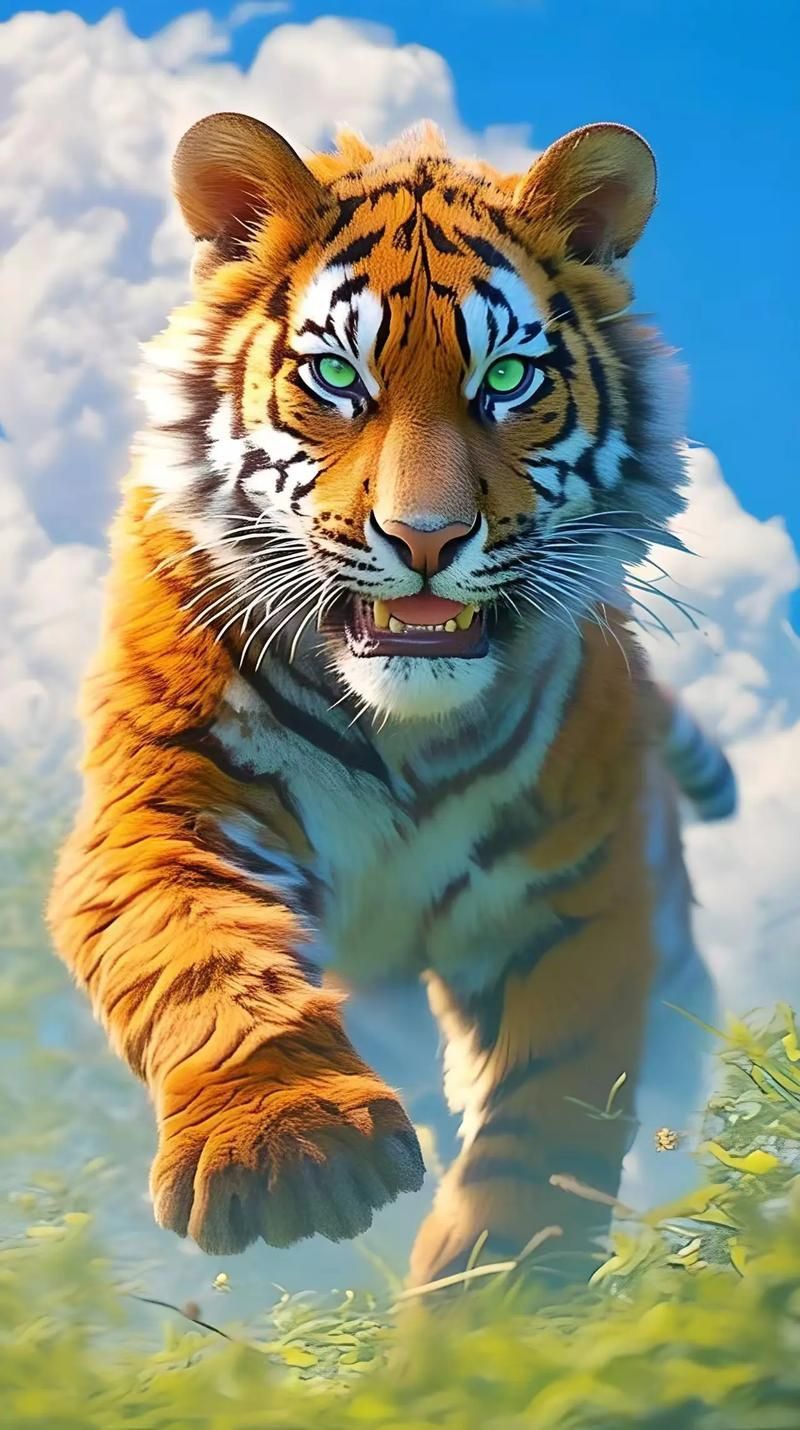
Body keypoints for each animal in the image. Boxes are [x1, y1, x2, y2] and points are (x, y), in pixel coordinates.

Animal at [48, 112, 735, 1288]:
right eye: (335, 374)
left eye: (507, 377)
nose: (425, 538)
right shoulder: (166, 807)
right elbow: (203, 955)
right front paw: (289, 1152)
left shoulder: (580, 895)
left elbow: (546, 1123)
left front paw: (497, 1307)